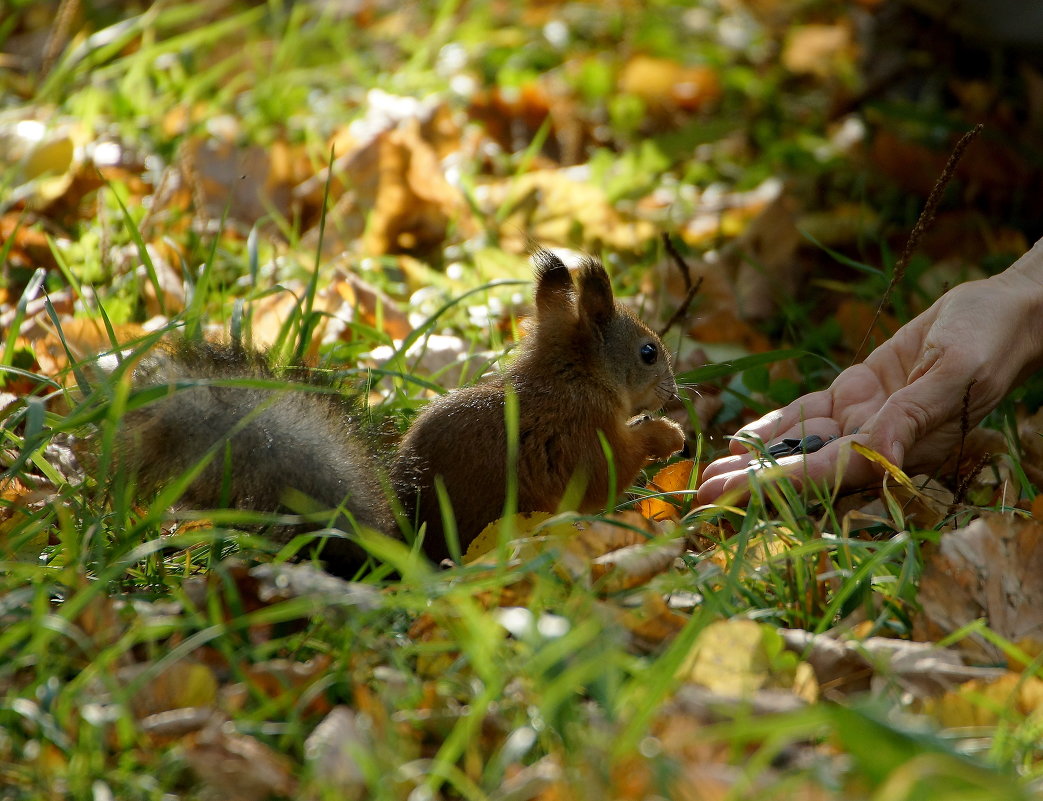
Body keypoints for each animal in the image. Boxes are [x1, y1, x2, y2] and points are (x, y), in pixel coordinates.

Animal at [101, 250, 688, 567]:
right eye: (648, 352)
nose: (676, 394)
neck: (571, 378)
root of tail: (410, 548)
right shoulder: (582, 434)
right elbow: (609, 472)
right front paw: (666, 437)